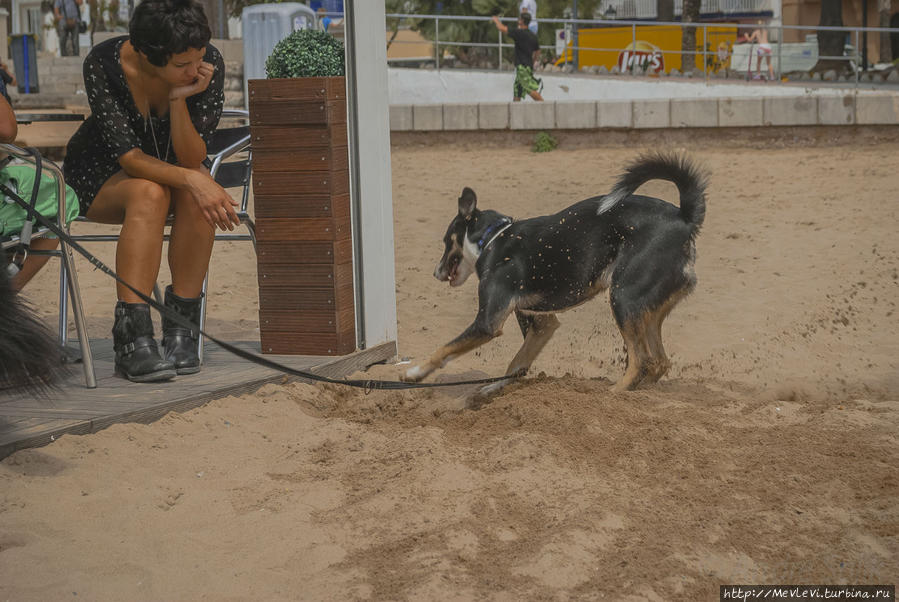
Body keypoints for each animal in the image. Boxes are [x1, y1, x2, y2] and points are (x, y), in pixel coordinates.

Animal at [404, 152, 708, 392]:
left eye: (446, 241)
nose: (435, 272)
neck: (493, 239)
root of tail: (684, 218)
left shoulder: (486, 323)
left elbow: (444, 350)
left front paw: (415, 373)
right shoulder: (541, 323)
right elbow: (518, 363)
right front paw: (492, 389)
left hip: (624, 297)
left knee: (641, 360)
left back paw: (616, 391)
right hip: (648, 309)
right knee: (659, 362)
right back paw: (641, 390)